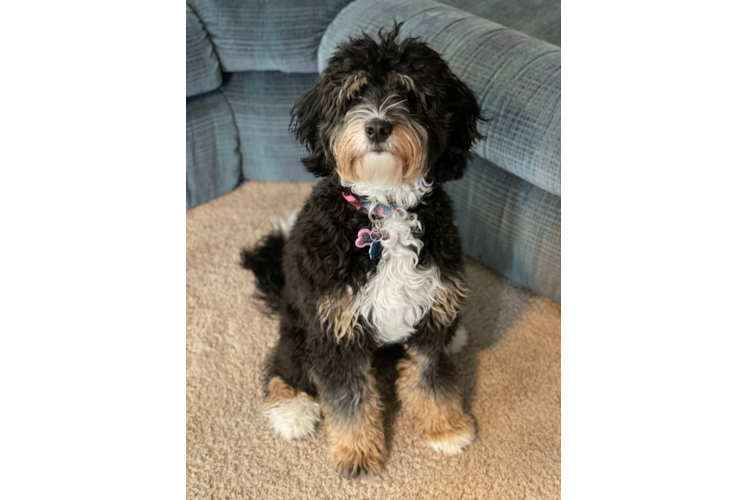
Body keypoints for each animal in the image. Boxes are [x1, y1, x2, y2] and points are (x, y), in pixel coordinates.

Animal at [243, 24, 482, 480]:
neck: (384, 208)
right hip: (301, 325)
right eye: (354, 95)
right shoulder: (336, 329)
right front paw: (357, 454)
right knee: (284, 364)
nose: (377, 127)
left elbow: (430, 377)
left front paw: (445, 428)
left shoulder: (429, 310)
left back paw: (458, 334)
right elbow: (349, 398)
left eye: (408, 93)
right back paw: (292, 410)